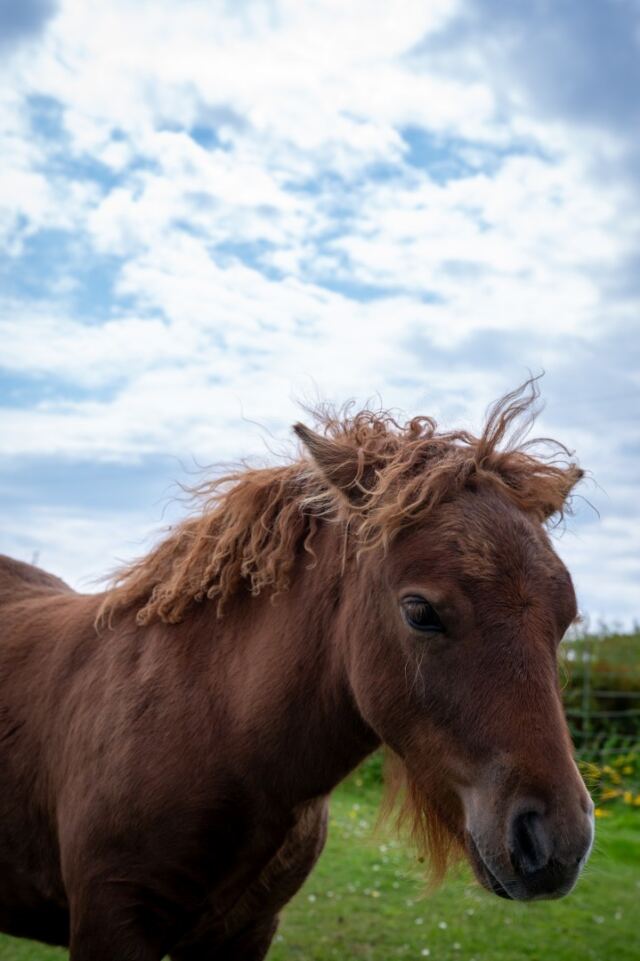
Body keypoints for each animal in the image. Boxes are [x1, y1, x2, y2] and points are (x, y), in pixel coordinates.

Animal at [0, 380, 594, 960]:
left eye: (566, 618)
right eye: (420, 611)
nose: (558, 842)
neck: (213, 729)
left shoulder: (248, 930)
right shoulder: (112, 923)